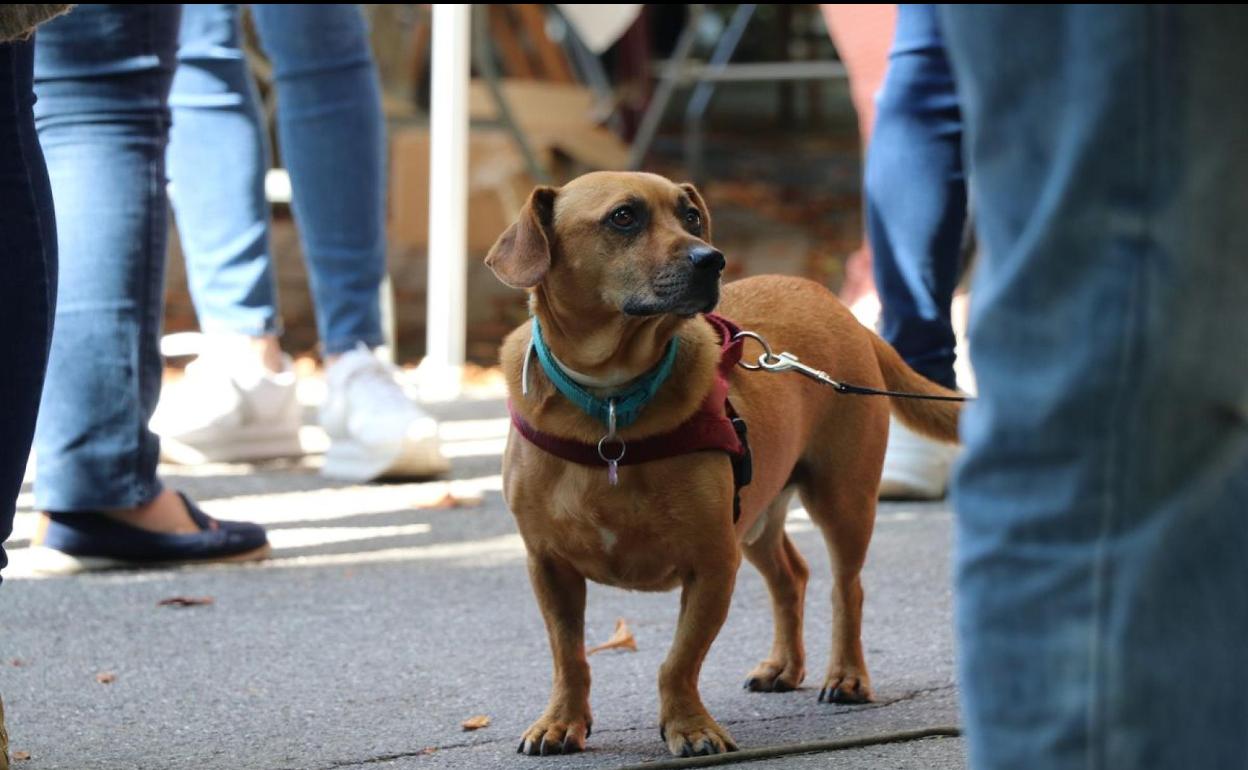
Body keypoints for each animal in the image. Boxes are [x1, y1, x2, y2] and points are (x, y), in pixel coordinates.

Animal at [484, 170, 953, 753]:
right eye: (623, 217)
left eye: (690, 216)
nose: (712, 260)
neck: (612, 406)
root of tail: (840, 309)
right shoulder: (549, 567)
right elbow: (569, 656)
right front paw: (561, 720)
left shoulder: (712, 562)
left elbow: (678, 661)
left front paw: (689, 725)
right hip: (756, 516)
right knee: (791, 576)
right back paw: (784, 666)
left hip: (842, 502)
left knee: (847, 588)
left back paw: (845, 675)